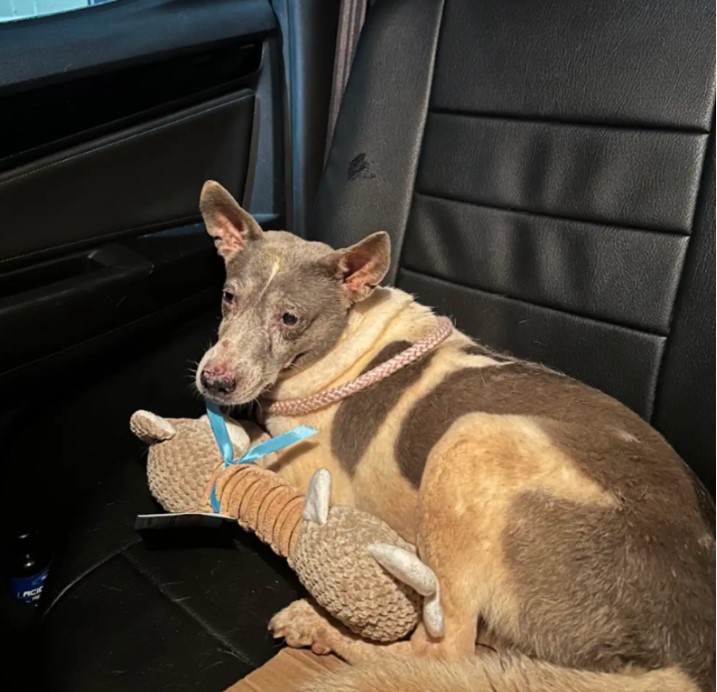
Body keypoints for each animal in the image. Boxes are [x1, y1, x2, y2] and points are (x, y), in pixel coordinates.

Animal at [193, 181, 712, 688]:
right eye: (229, 297)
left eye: (290, 319)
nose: (214, 381)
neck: (344, 337)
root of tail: (683, 660)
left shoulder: (314, 474)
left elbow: (253, 450)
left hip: (469, 441)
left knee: (441, 654)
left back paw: (320, 626)